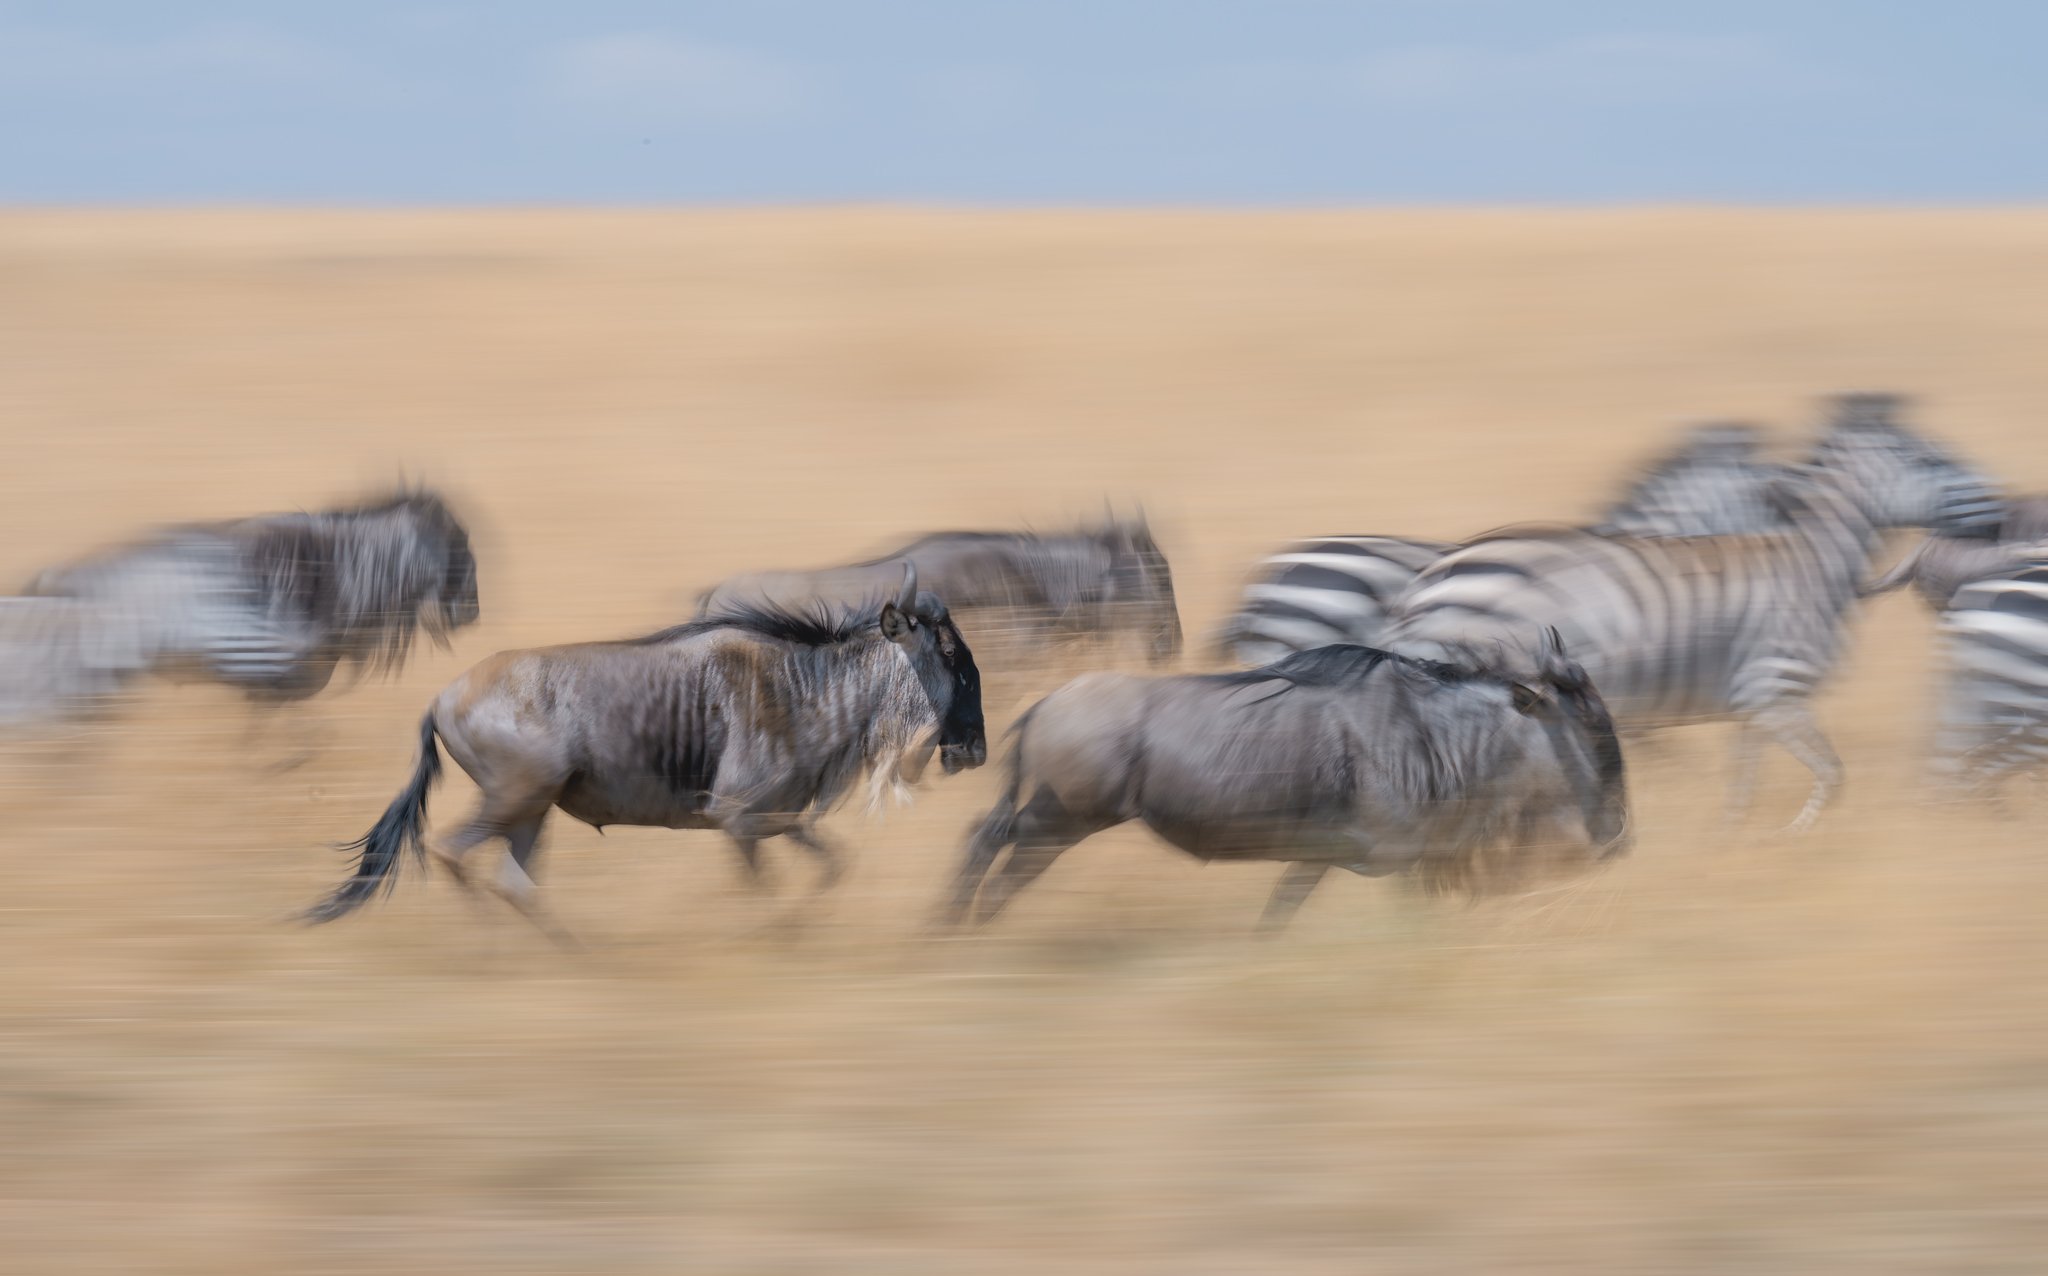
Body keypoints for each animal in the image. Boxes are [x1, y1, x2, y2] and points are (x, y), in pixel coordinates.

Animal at [1376, 395, 1998, 835]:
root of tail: (1431, 577)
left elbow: (1741, 784)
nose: (1999, 509)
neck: (1813, 564)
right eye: (1930, 459)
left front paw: (1731, 845)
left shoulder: (1751, 706)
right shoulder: (1774, 692)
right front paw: (1790, 840)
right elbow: (1832, 774)